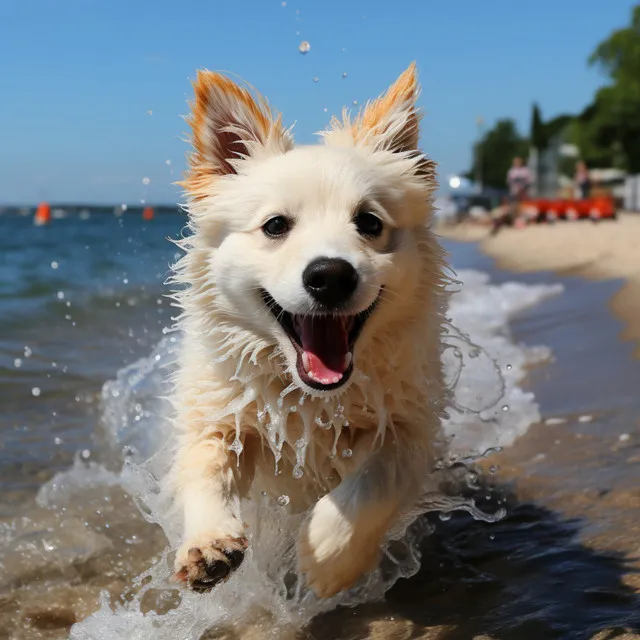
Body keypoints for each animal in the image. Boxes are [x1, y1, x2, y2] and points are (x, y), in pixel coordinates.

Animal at [171, 62, 450, 596]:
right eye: (276, 226)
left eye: (369, 222)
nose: (331, 275)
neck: (311, 400)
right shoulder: (220, 414)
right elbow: (203, 465)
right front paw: (208, 544)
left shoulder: (409, 423)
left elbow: (376, 481)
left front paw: (327, 557)